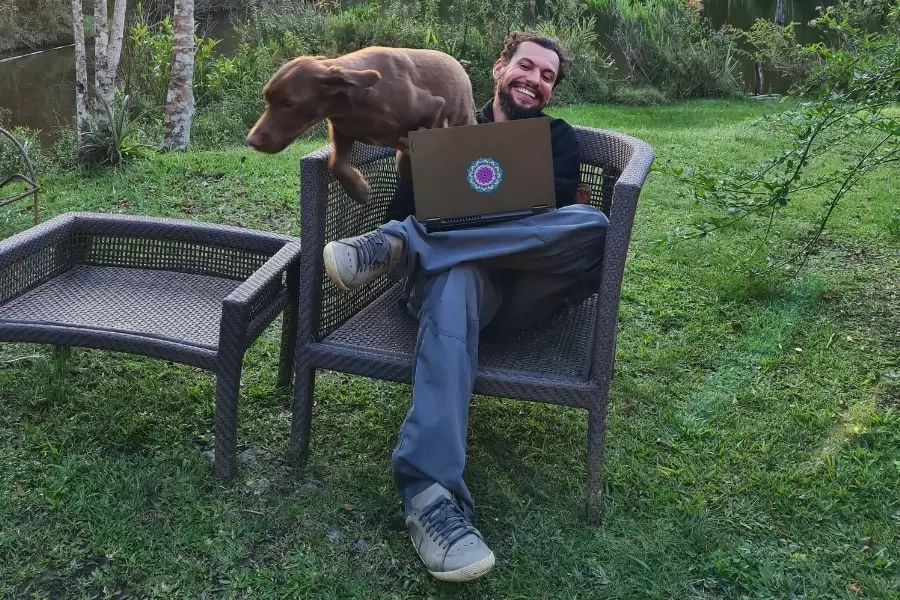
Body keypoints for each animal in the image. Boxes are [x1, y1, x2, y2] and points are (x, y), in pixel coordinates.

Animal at [239, 46, 478, 206]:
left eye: (289, 103)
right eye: (267, 97)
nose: (251, 141)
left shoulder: (435, 106)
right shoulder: (341, 130)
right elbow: (336, 163)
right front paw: (357, 189)